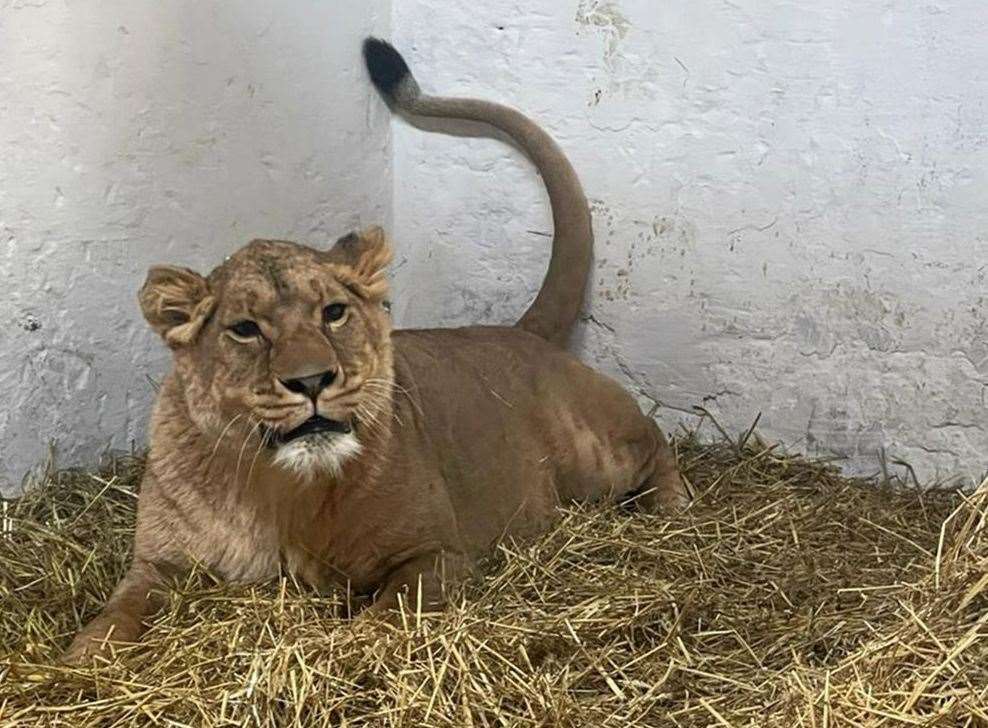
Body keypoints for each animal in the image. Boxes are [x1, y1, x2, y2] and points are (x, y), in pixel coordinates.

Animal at [63, 39, 688, 664]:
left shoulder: (437, 555)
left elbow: (380, 623)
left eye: (333, 313)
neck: (276, 493)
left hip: (594, 460)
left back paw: (673, 508)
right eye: (245, 329)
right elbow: (111, 619)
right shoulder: (157, 565)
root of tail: (521, 330)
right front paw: (77, 662)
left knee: (655, 442)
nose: (312, 380)